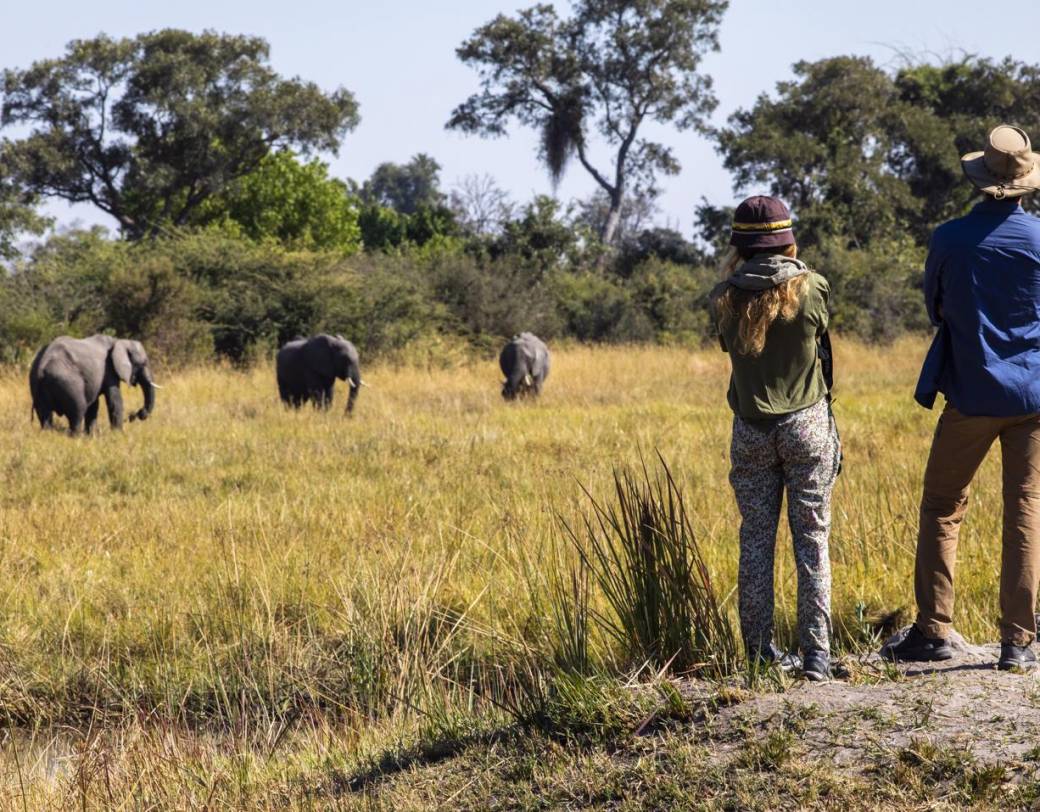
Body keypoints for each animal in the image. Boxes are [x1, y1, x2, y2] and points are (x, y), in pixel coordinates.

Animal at [29, 332, 158, 434]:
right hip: (67, 381)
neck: (119, 341)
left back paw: (48, 434)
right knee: (77, 411)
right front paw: (118, 435)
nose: (137, 414)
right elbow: (114, 400)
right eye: (143, 363)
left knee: (45, 415)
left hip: (37, 384)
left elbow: (94, 405)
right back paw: (76, 437)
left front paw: (90, 435)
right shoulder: (109, 369)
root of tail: (42, 366)